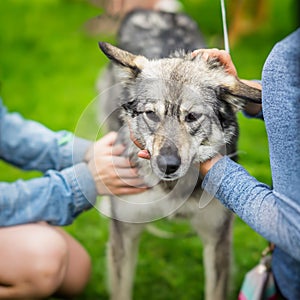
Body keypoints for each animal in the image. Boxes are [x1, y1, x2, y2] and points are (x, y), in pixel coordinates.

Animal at [97, 8, 262, 300]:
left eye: (192, 116)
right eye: (152, 114)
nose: (168, 165)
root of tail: (158, 12)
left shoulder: (217, 238)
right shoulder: (125, 235)